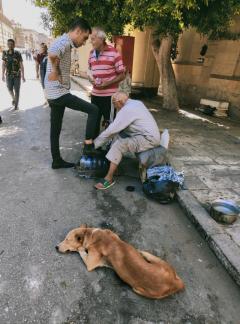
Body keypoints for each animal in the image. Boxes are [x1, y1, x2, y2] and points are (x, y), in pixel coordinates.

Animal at [55, 225, 184, 298]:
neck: (91, 234)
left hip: (138, 289)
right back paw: (142, 253)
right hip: (164, 264)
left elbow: (81, 251)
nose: (56, 247)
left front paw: (80, 248)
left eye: (67, 239)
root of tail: (175, 284)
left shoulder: (90, 262)